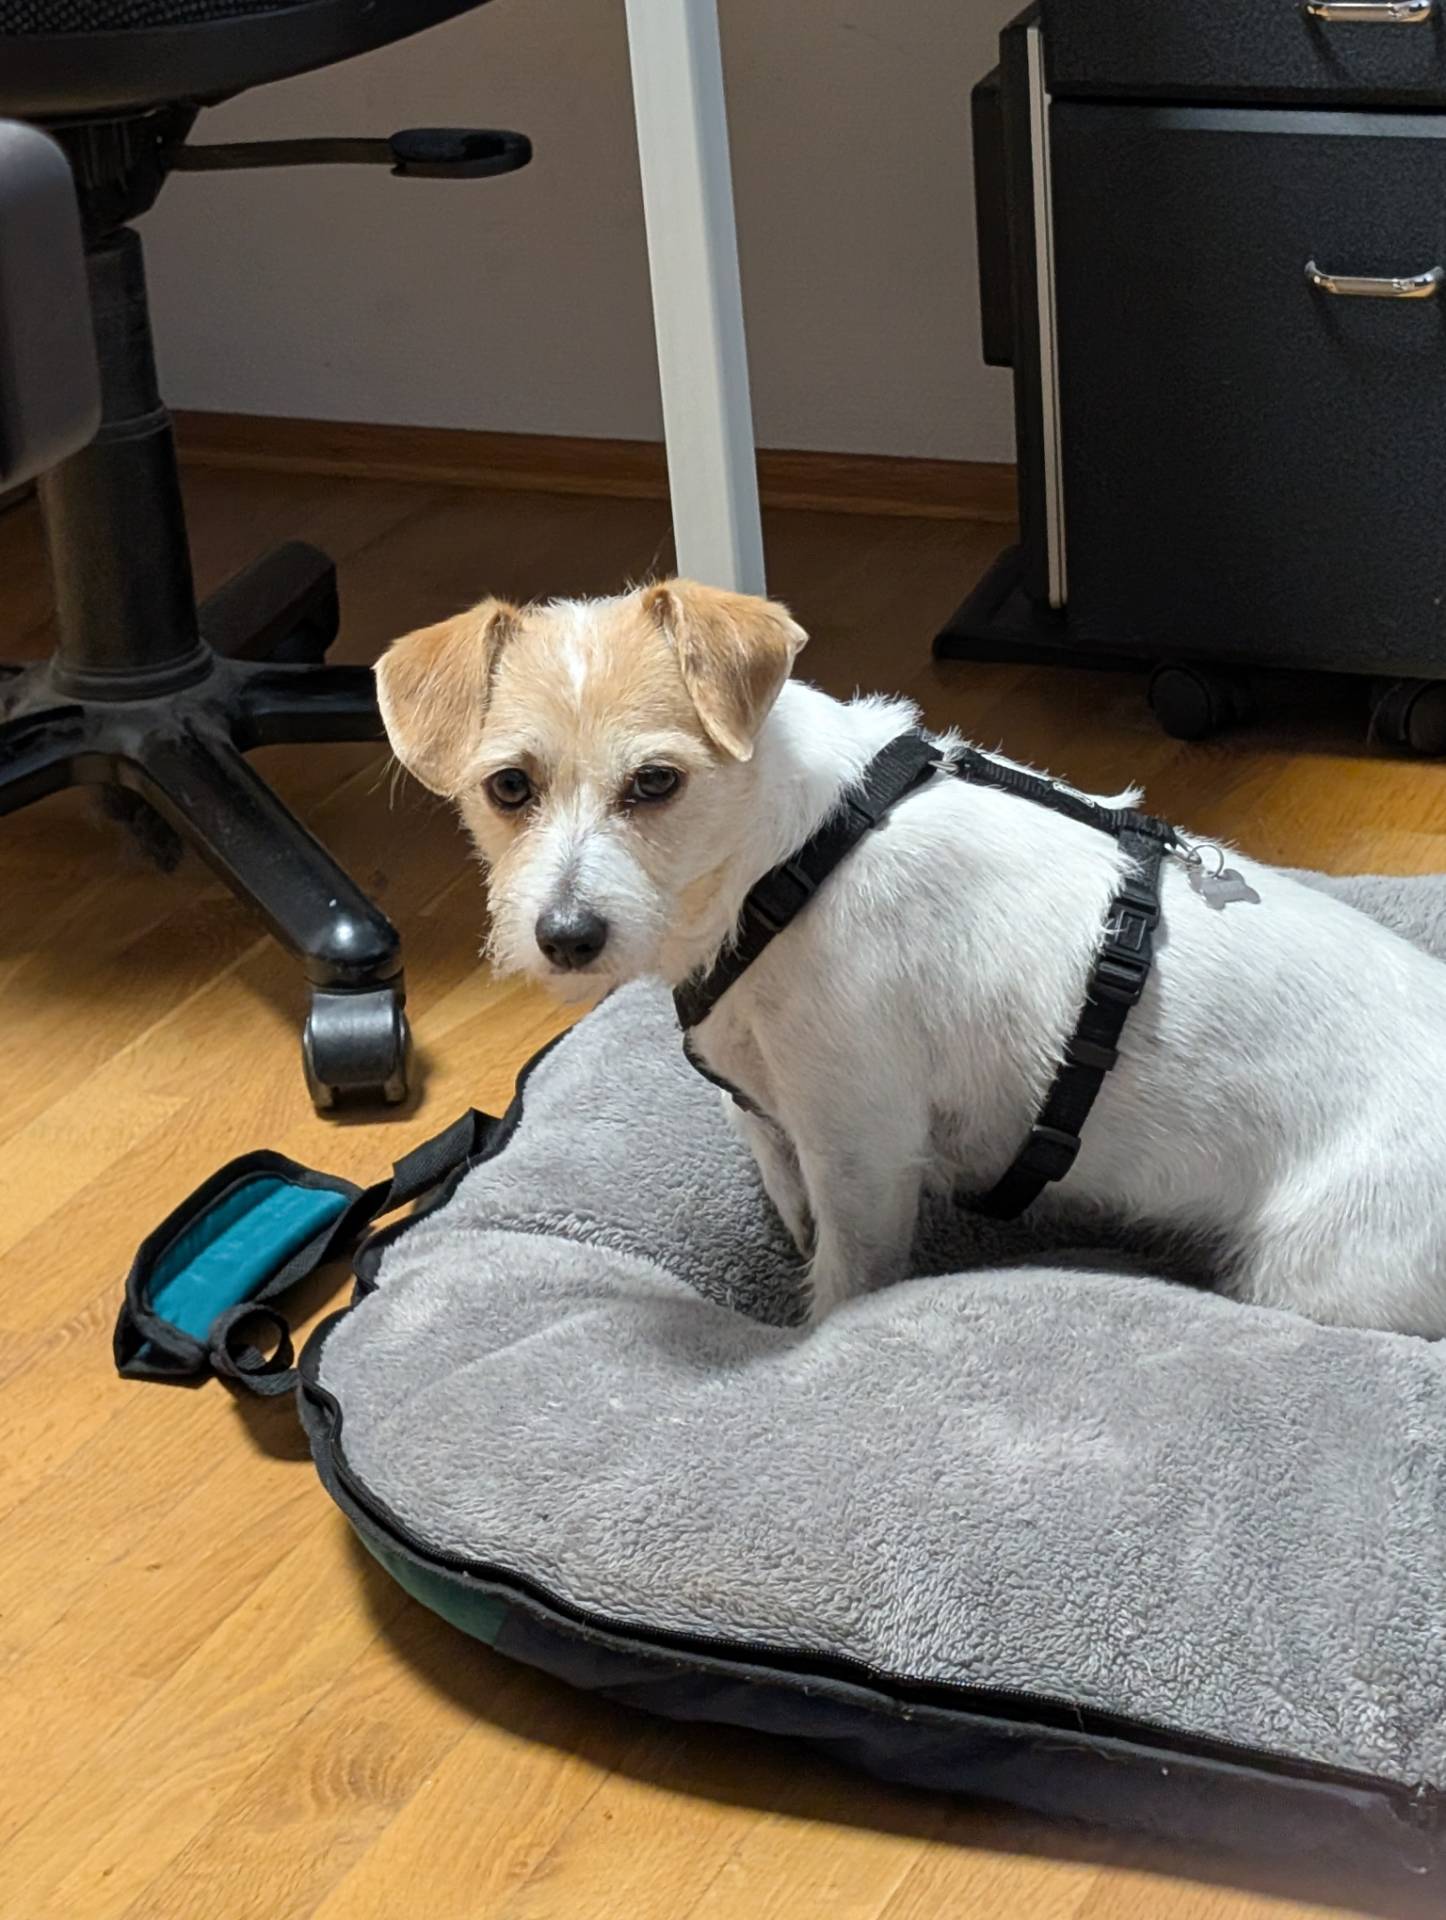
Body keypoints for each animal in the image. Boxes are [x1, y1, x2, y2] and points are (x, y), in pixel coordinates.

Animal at [377, 578, 1446, 1337]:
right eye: (509, 787)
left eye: (656, 782)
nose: (565, 937)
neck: (788, 860)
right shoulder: (781, 1116)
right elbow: (779, 1184)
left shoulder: (864, 1150)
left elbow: (844, 1282)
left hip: (1324, 1274)